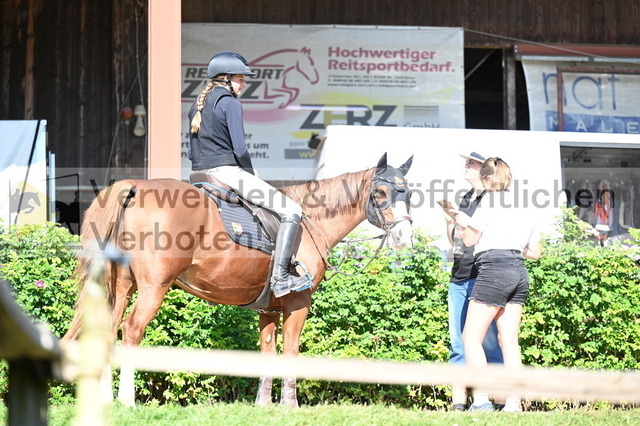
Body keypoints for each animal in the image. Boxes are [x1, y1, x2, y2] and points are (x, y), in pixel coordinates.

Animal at [63, 153, 416, 406]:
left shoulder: (269, 309)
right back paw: (127, 401)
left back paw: (107, 401)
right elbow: (290, 351)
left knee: (108, 332)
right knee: (132, 330)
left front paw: (263, 405)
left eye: (409, 193)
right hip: (153, 288)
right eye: (381, 192)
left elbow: (267, 353)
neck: (310, 221)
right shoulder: (298, 302)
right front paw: (290, 405)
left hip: (122, 287)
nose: (404, 236)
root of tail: (135, 187)